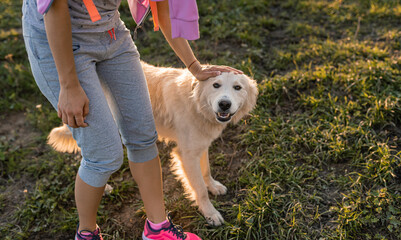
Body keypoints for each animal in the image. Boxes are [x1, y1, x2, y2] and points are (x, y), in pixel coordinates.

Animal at [48, 61, 258, 226]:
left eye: (237, 88)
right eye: (216, 85)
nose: (224, 104)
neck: (196, 102)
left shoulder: (200, 146)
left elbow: (205, 171)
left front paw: (213, 186)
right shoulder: (186, 155)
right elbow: (199, 189)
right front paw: (210, 213)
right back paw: (103, 187)